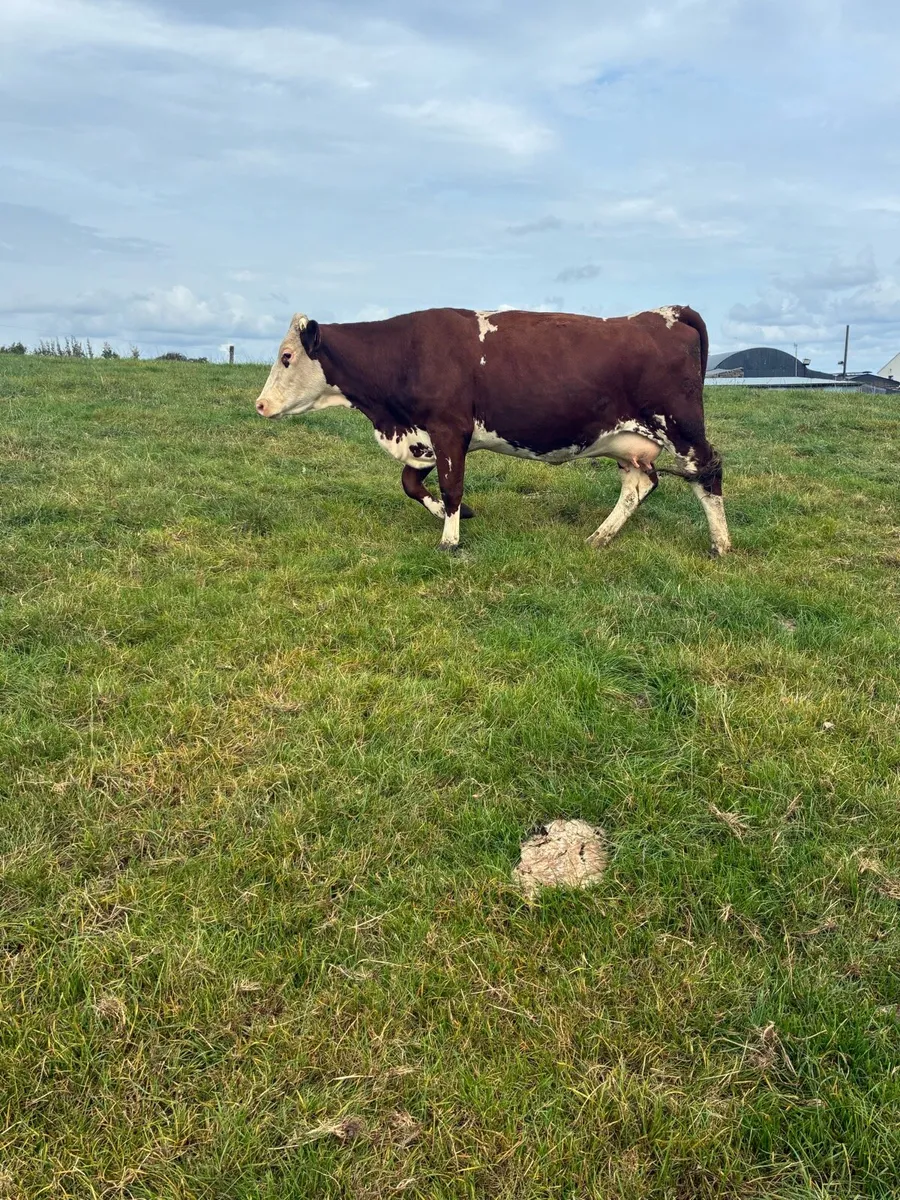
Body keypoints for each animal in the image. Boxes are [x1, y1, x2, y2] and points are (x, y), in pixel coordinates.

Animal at [254, 306, 731, 557]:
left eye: (286, 357)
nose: (260, 404)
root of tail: (662, 313)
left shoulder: (449, 430)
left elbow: (451, 487)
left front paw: (450, 539)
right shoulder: (423, 439)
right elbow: (411, 484)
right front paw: (457, 516)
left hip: (682, 426)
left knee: (708, 472)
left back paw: (721, 543)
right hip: (629, 441)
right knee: (639, 485)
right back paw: (600, 536)